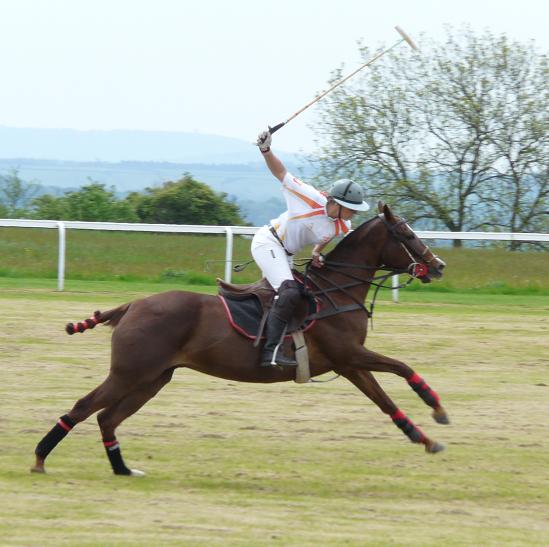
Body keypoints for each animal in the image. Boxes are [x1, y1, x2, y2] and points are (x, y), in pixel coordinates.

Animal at [31, 203, 446, 478]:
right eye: (407, 234)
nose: (438, 266)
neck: (336, 292)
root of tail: (132, 305)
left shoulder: (347, 363)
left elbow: (385, 400)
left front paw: (425, 437)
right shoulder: (350, 354)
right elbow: (402, 367)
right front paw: (436, 407)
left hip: (153, 378)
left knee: (107, 417)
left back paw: (122, 469)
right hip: (130, 372)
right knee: (83, 408)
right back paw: (40, 459)